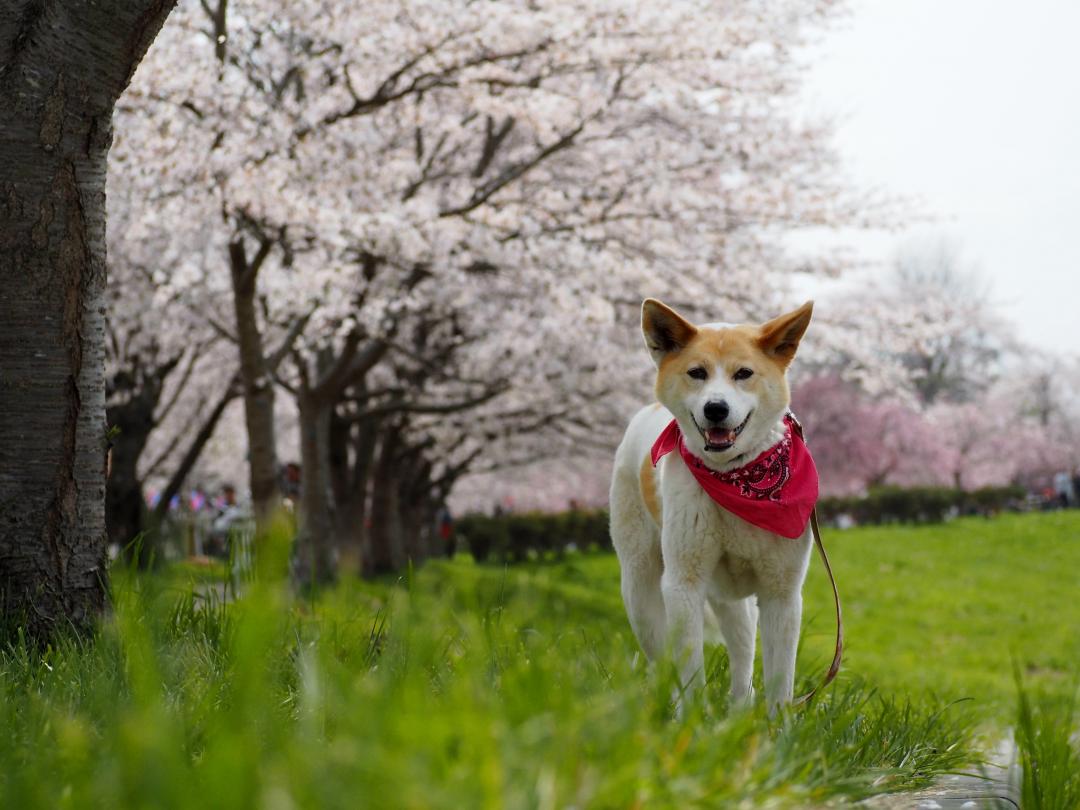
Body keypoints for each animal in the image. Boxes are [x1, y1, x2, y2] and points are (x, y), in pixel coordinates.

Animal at [609, 298, 816, 717]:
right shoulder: (683, 585)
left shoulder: (782, 593)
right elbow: (689, 672)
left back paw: (738, 712)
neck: (737, 477)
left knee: (742, 656)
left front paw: (777, 730)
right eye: (697, 373)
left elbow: (780, 680)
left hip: (733, 599)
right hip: (641, 590)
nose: (716, 408)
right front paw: (691, 723)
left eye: (744, 373)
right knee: (663, 660)